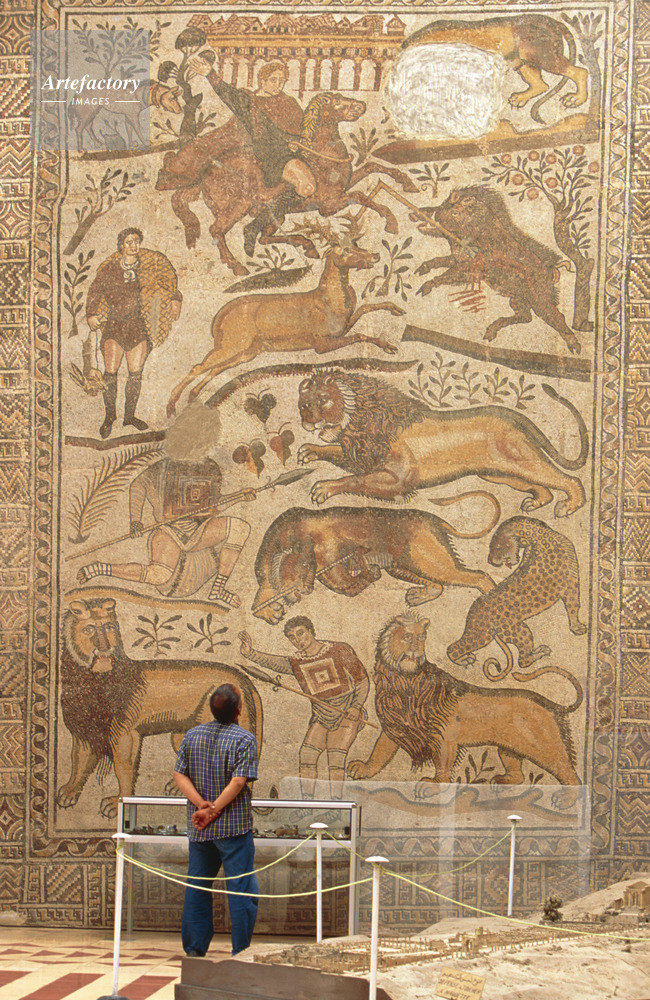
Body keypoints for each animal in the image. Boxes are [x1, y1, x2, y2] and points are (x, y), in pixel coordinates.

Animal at [57, 598, 263, 819]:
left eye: (109, 627)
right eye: (88, 629)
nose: (106, 647)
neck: (93, 678)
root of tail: (244, 679)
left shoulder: (124, 733)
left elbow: (123, 767)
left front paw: (118, 801)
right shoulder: (84, 733)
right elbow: (78, 762)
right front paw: (69, 792)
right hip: (183, 734)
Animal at [297, 371, 588, 517]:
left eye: (323, 399)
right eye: (304, 400)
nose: (304, 416)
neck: (362, 421)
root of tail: (511, 415)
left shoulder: (399, 480)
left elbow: (356, 480)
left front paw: (325, 487)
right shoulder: (360, 454)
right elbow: (334, 452)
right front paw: (309, 451)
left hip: (521, 459)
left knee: (568, 480)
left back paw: (569, 506)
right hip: (498, 473)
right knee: (544, 488)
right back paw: (536, 503)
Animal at [347, 614, 582, 787]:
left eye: (421, 638)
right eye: (406, 637)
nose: (415, 649)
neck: (403, 678)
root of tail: (553, 704)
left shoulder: (444, 733)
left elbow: (443, 761)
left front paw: (435, 784)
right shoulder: (398, 723)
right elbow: (380, 750)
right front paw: (364, 769)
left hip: (543, 745)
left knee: (568, 772)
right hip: (508, 747)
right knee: (519, 774)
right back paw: (503, 780)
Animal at [403, 15, 588, 124]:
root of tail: (551, 20)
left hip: (541, 56)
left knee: (580, 72)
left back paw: (576, 99)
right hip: (523, 62)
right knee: (541, 84)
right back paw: (519, 98)